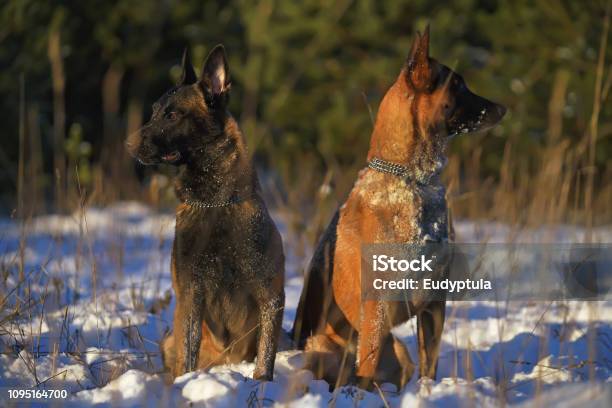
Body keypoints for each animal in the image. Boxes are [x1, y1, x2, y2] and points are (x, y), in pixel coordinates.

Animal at [128, 46, 286, 380]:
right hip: (170, 337)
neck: (217, 204)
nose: (128, 146)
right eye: (153, 111)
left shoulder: (271, 293)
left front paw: (262, 383)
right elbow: (189, 350)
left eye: (172, 115)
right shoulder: (191, 293)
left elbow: (266, 356)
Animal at [294, 27, 504, 390]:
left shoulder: (434, 303)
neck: (412, 179)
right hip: (320, 346)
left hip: (400, 350)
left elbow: (430, 364)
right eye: (458, 85)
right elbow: (368, 364)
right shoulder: (377, 308)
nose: (502, 107)